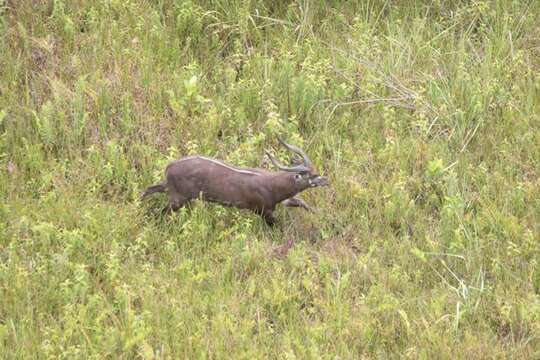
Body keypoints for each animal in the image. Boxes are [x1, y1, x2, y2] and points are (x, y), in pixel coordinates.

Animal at [142, 139, 330, 225]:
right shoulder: (263, 210)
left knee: (150, 188)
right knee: (161, 209)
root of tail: (169, 167)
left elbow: (302, 202)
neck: (272, 184)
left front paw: (323, 216)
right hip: (178, 198)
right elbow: (278, 225)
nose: (326, 180)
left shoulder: (282, 202)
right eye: (310, 176)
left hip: (171, 191)